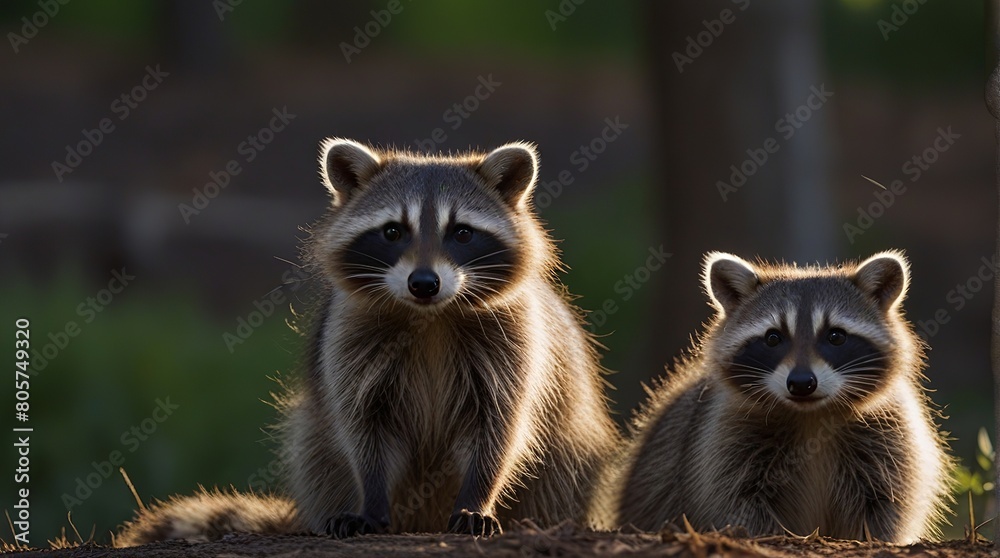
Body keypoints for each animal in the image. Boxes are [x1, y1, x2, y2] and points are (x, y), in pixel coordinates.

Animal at [117, 139, 621, 544]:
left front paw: (477, 497)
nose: (424, 283)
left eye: (462, 232)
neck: (430, 319)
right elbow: (364, 427)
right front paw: (372, 499)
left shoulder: (515, 341)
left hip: (572, 446)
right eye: (393, 230)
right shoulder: (349, 338)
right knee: (315, 444)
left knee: (562, 467)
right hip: (315, 437)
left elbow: (498, 428)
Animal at [610, 251, 952, 543]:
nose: (801, 383)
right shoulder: (723, 437)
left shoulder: (888, 432)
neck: (812, 416)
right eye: (773, 338)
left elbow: (889, 501)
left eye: (836, 336)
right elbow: (733, 500)